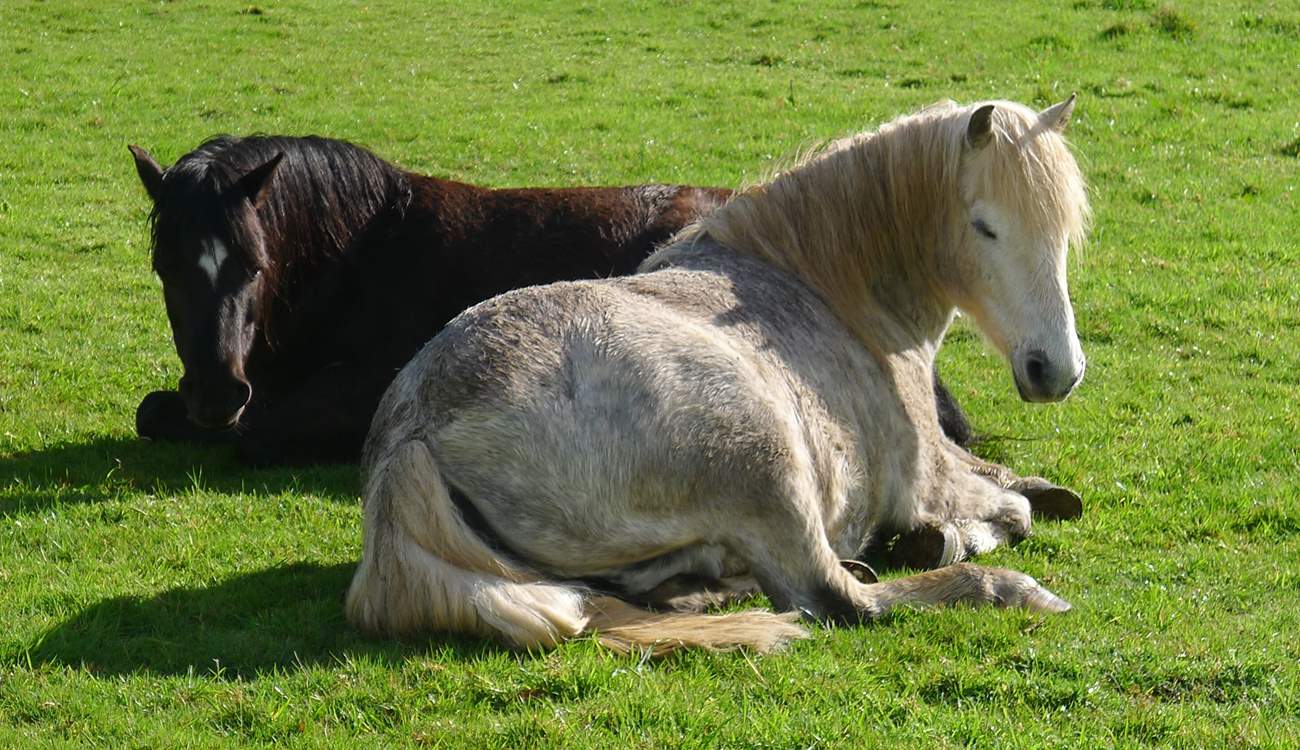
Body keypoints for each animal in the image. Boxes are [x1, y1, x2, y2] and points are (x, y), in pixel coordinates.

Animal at [128, 135, 989, 467]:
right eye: (166, 267)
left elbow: (260, 431)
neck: (358, 255)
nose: (216, 391)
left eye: (251, 265)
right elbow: (153, 413)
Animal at [345, 96, 1091, 653]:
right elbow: (1014, 509)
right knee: (837, 599)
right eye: (985, 227)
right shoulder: (928, 477)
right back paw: (1005, 588)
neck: (829, 290)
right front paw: (957, 536)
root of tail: (415, 432)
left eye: (1063, 231)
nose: (1055, 370)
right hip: (769, 467)